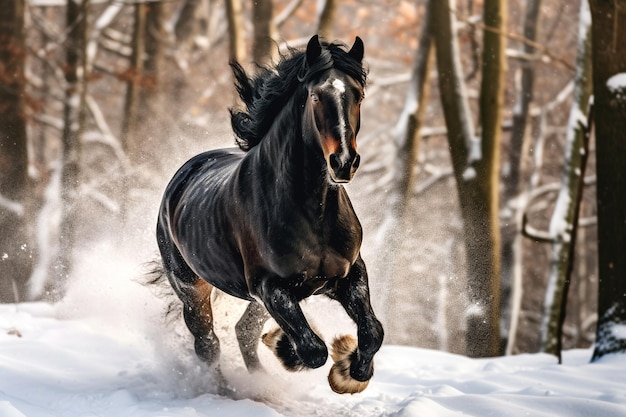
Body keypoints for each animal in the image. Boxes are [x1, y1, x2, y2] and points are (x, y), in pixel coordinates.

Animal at [155, 35, 380, 394]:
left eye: (358, 95)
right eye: (315, 95)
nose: (344, 162)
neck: (313, 214)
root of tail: (181, 177)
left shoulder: (349, 275)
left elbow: (373, 331)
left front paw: (352, 372)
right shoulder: (270, 287)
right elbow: (312, 348)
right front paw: (285, 346)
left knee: (243, 331)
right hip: (193, 290)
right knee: (208, 344)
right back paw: (225, 390)